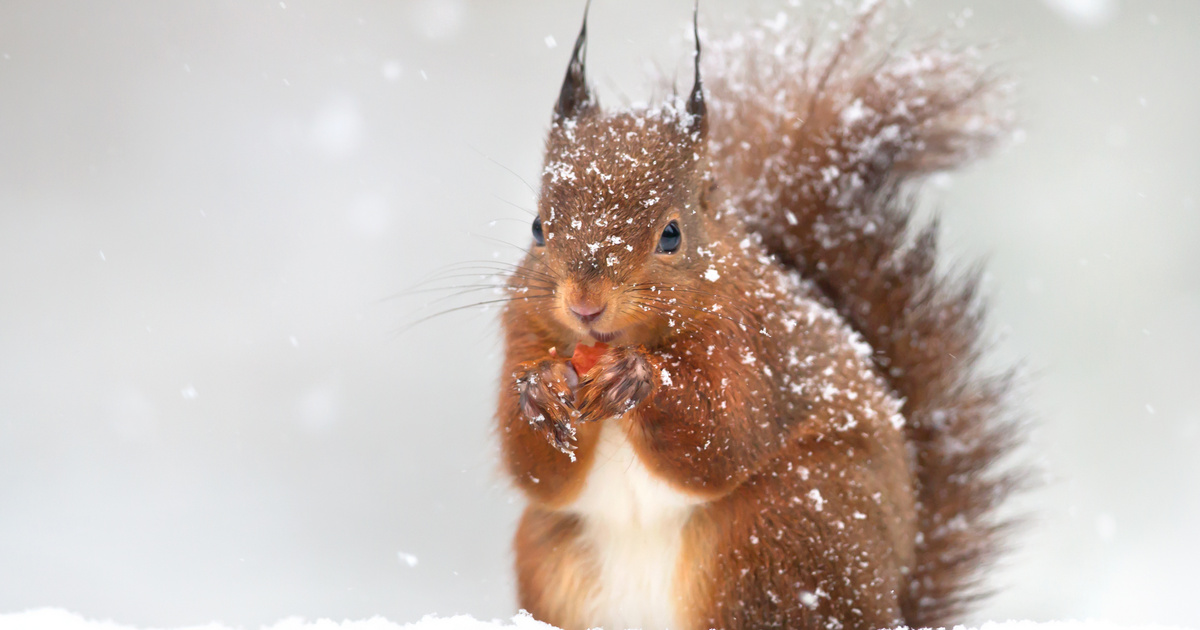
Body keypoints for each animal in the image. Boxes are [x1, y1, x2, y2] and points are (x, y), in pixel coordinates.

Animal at [487, 4, 1022, 628]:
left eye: (671, 234)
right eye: (537, 228)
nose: (584, 303)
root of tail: (891, 603)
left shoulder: (750, 341)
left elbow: (724, 434)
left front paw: (638, 378)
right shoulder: (522, 331)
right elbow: (535, 469)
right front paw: (541, 390)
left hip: (777, 537)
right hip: (554, 560)